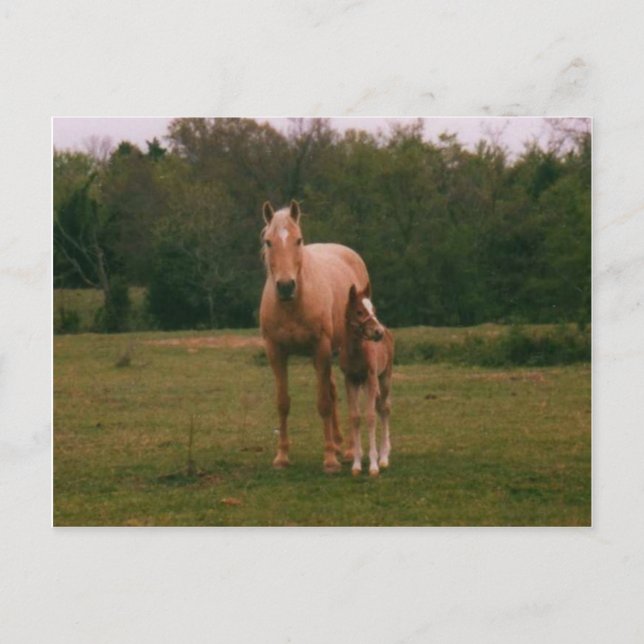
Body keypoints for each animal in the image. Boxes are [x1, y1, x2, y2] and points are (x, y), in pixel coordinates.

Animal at [259, 200, 370, 472]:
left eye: (298, 240)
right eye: (268, 241)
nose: (285, 286)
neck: (293, 304)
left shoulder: (321, 349)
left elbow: (323, 403)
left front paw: (329, 459)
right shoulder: (276, 352)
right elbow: (283, 403)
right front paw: (282, 456)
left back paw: (348, 450)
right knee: (332, 389)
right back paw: (340, 443)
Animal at [339, 283, 394, 477]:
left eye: (373, 309)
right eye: (359, 312)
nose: (378, 332)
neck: (356, 352)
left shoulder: (371, 378)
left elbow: (370, 416)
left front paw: (373, 465)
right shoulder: (350, 380)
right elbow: (355, 417)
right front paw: (356, 464)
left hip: (384, 378)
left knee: (384, 409)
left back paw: (384, 457)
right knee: (379, 407)